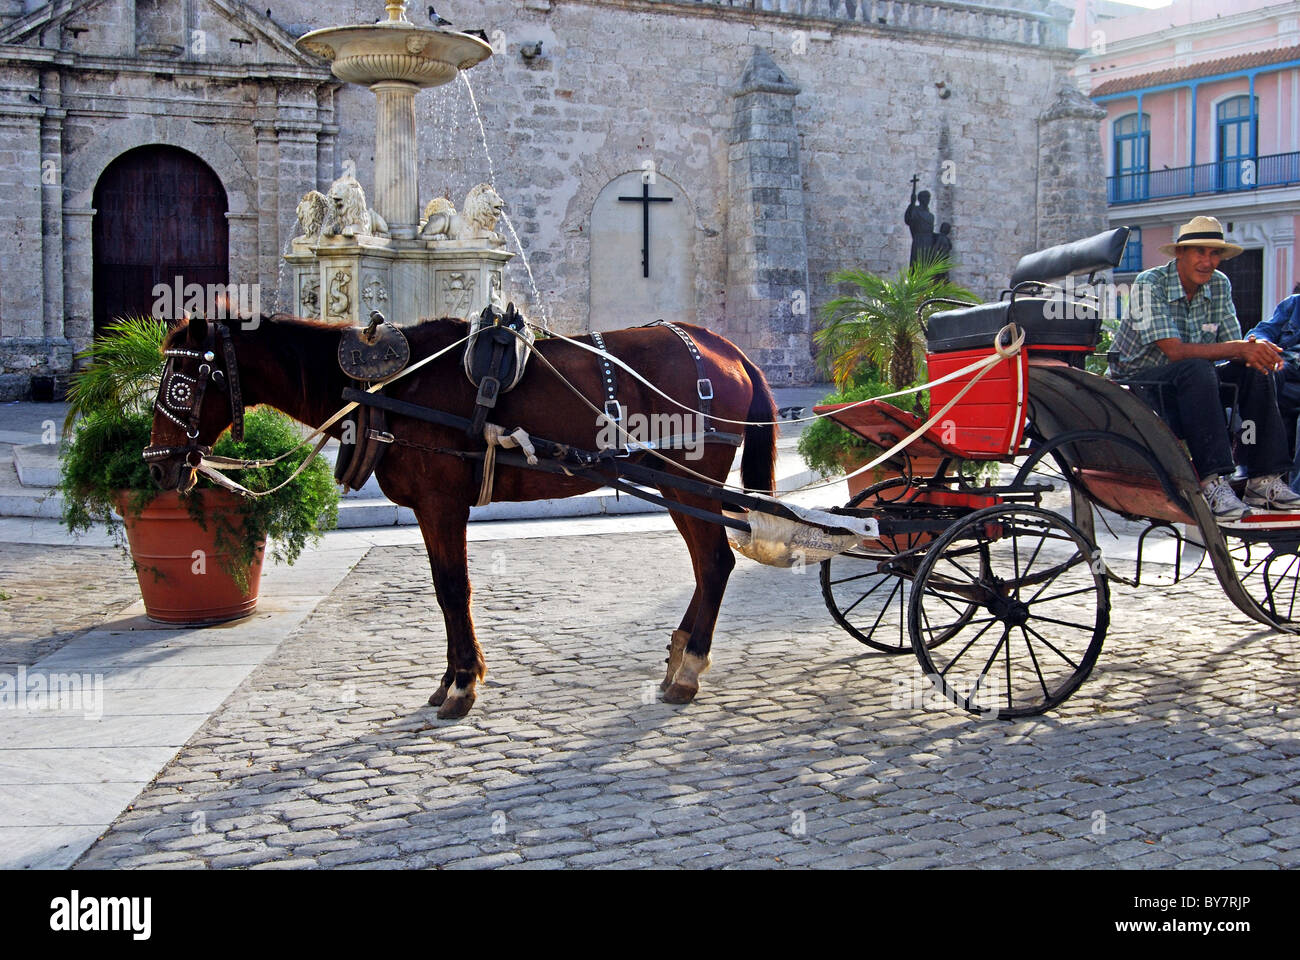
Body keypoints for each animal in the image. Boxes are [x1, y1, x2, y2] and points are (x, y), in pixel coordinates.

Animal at [144, 310, 769, 712]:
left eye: (181, 381)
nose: (157, 466)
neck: (381, 390)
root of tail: (726, 348)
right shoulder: (433, 509)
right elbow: (446, 590)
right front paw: (455, 677)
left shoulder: (441, 504)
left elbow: (452, 589)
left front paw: (463, 683)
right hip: (679, 488)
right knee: (706, 565)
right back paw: (681, 654)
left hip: (692, 486)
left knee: (715, 563)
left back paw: (689, 668)